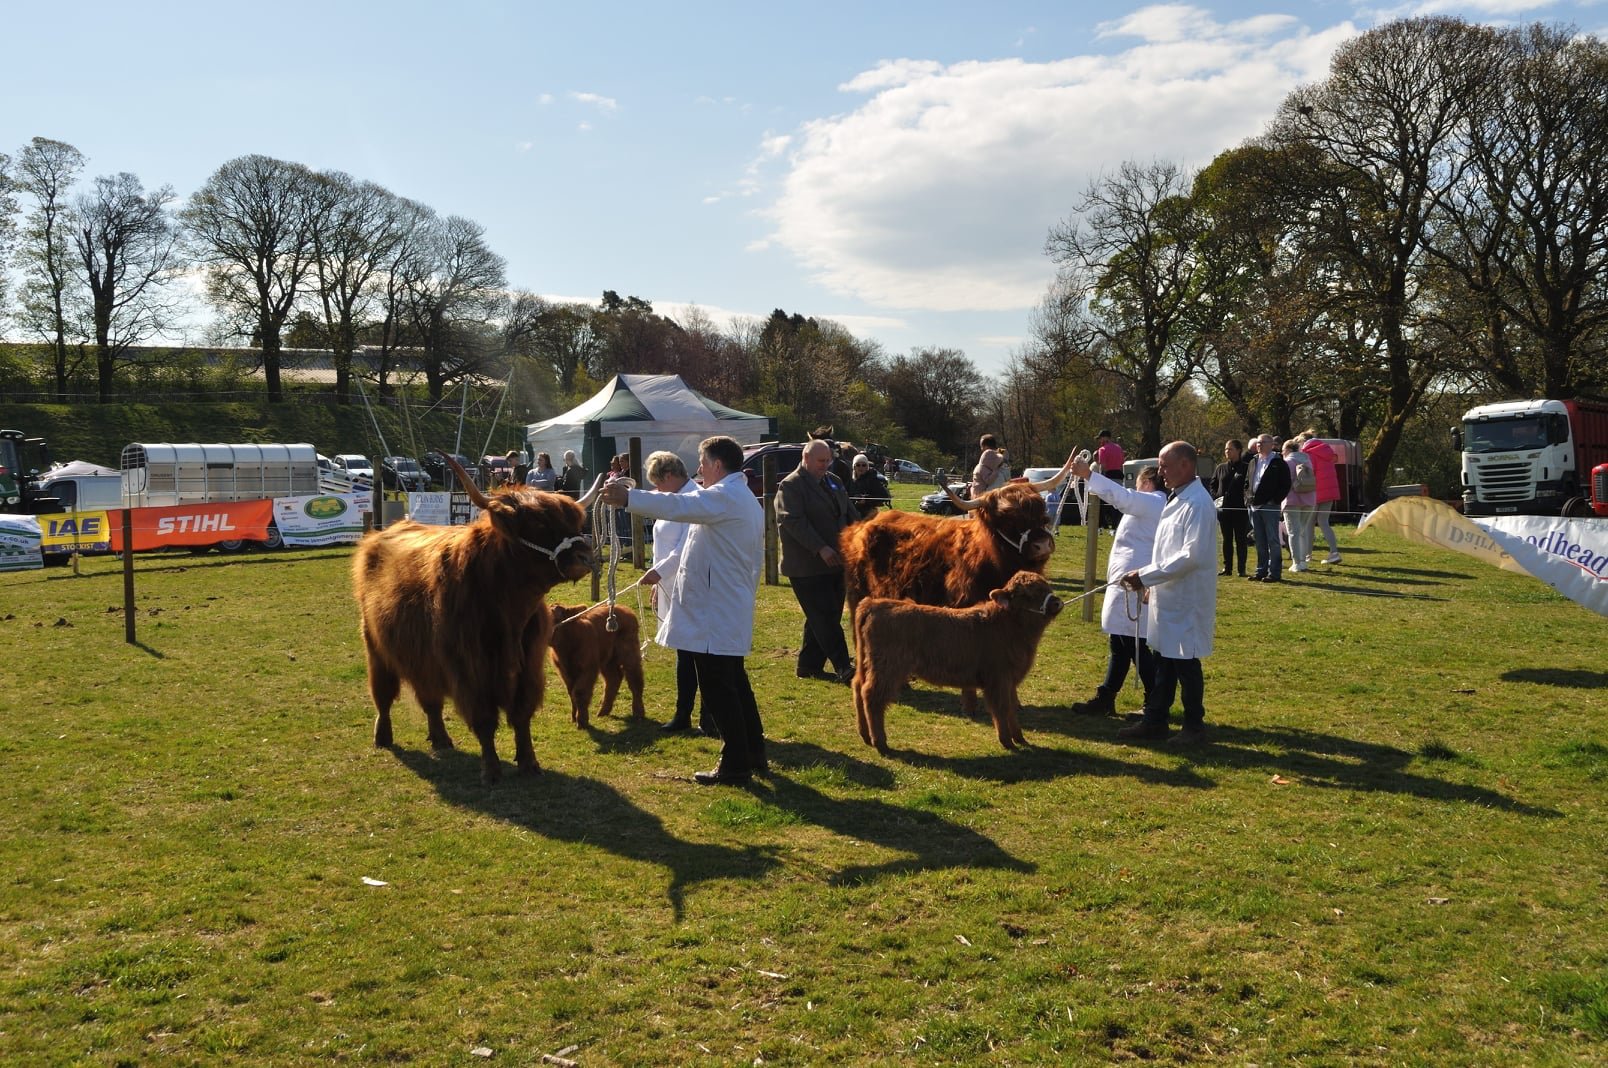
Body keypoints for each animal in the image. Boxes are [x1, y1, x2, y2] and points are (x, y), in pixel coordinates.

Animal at [352, 453, 598, 781]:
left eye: (575, 521)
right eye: (537, 523)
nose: (586, 557)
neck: (511, 610)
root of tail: (384, 531)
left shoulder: (528, 667)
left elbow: (521, 716)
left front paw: (529, 763)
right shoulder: (470, 669)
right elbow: (484, 721)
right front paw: (491, 771)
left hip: (422, 658)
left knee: (430, 699)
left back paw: (441, 739)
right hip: (376, 648)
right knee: (383, 695)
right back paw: (383, 737)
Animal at [855, 572, 1067, 755]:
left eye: (1046, 586)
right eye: (1026, 594)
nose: (1057, 602)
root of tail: (874, 603)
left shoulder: (1009, 681)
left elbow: (1011, 707)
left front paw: (1020, 738)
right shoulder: (998, 679)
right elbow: (1001, 708)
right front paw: (1008, 742)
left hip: (867, 664)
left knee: (858, 687)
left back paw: (865, 735)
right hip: (888, 669)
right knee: (872, 696)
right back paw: (880, 742)